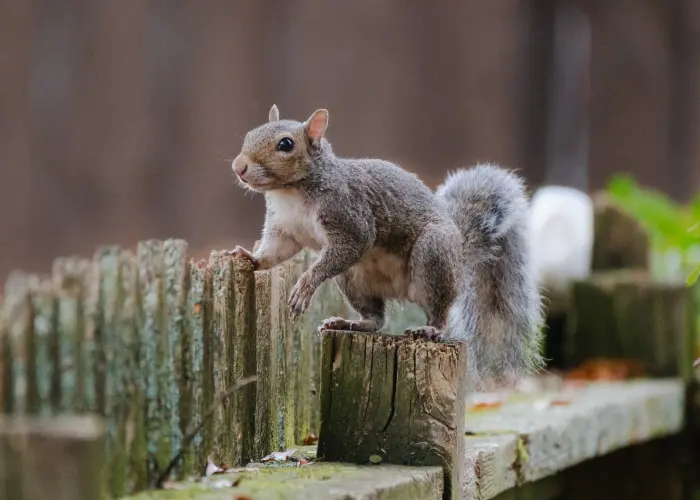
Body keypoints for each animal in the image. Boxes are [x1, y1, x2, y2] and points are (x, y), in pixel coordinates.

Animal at [230, 105, 544, 390]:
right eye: (250, 133)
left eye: (285, 144)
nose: (238, 167)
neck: (290, 192)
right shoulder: (285, 229)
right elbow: (275, 251)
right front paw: (251, 258)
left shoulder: (351, 218)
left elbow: (351, 244)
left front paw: (304, 287)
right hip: (354, 279)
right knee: (377, 319)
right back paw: (351, 324)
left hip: (434, 255)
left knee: (439, 309)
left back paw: (430, 329)